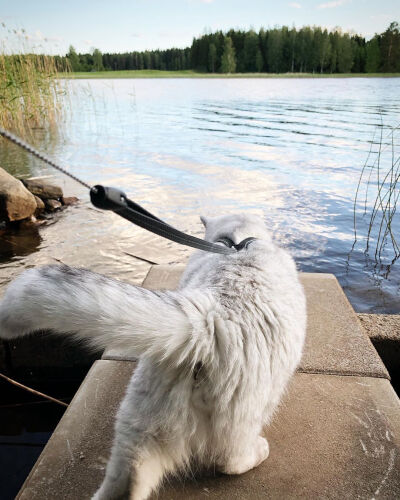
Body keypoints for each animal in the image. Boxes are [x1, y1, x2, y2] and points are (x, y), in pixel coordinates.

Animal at [0, 215, 306, 500]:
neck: (238, 243)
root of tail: (206, 320)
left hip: (136, 430)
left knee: (124, 484)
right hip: (247, 414)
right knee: (230, 461)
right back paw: (258, 452)